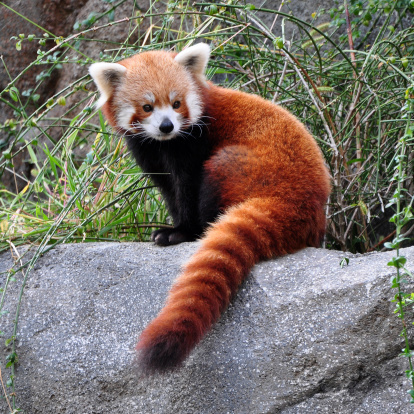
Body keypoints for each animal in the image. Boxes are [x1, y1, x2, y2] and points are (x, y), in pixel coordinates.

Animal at [89, 43, 332, 374]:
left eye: (177, 103)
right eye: (147, 107)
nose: (167, 125)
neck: (165, 143)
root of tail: (301, 201)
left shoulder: (193, 145)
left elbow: (187, 189)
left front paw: (180, 233)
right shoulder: (150, 153)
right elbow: (170, 191)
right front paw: (172, 227)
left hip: (240, 167)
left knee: (217, 173)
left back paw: (206, 228)